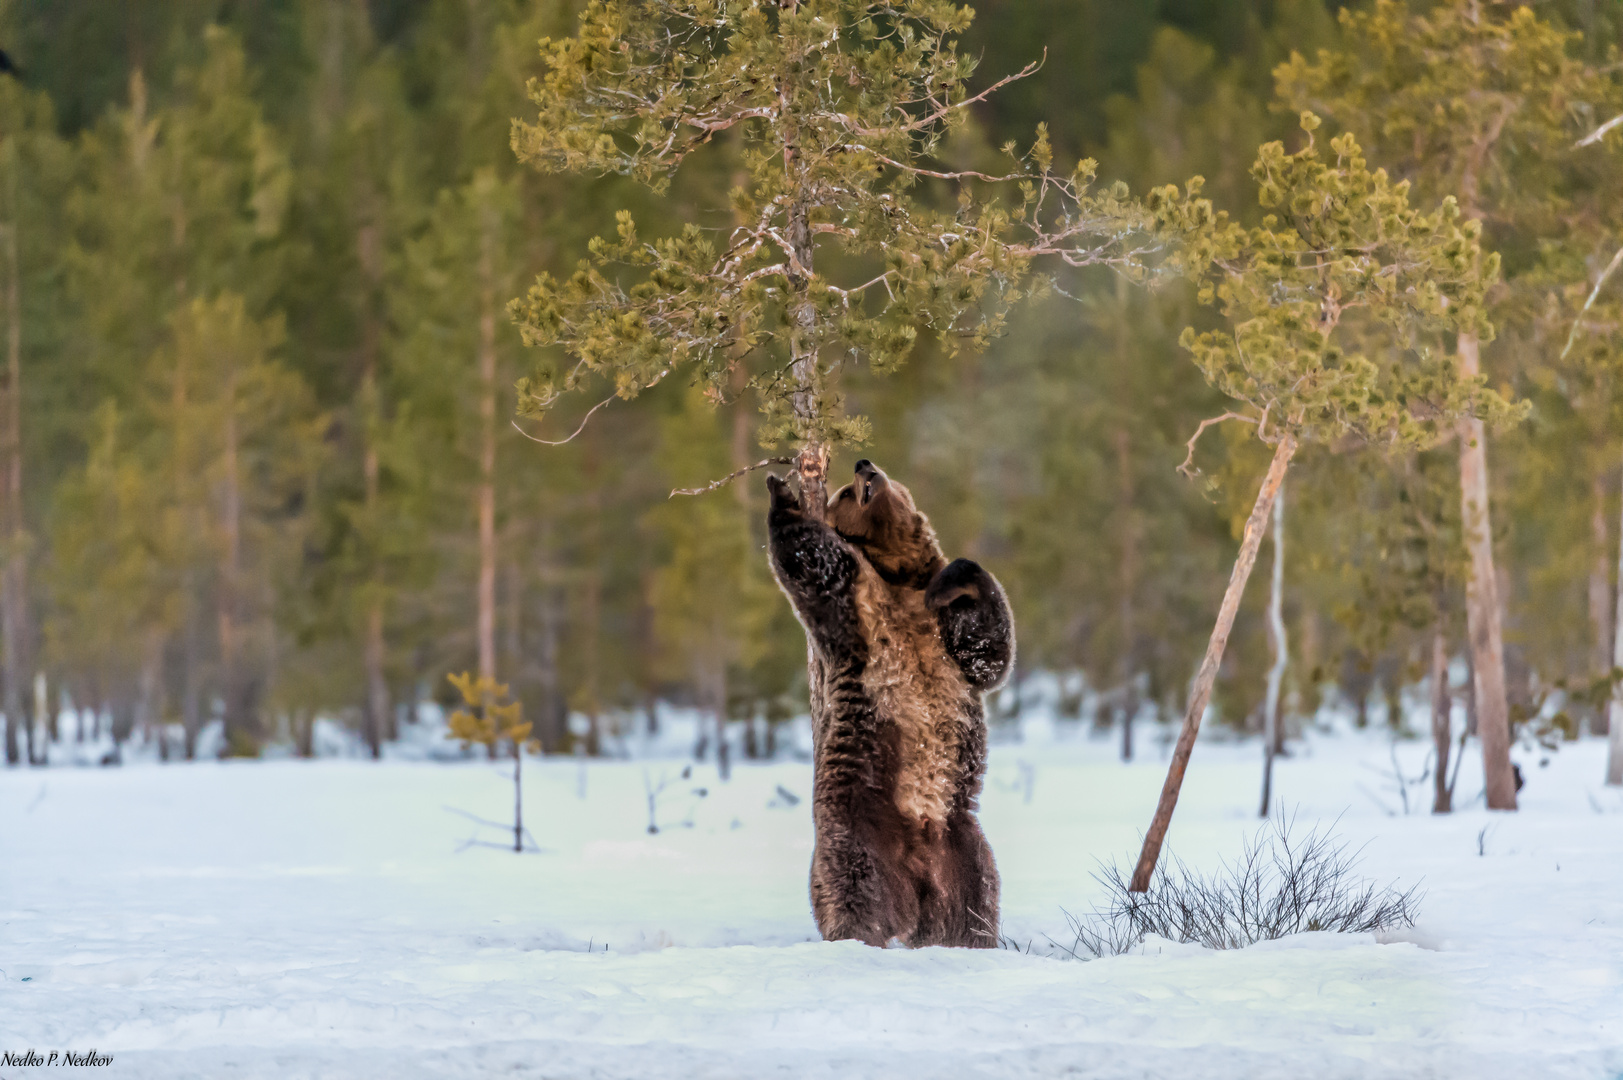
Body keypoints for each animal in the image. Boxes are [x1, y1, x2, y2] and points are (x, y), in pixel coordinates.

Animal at [762, 454, 1012, 941]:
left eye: (878, 471)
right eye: (843, 491)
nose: (864, 464)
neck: (898, 575)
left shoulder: (946, 638)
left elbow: (988, 648)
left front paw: (956, 579)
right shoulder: (856, 603)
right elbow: (811, 562)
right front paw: (781, 492)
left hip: (965, 852)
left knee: (974, 911)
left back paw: (971, 941)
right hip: (857, 833)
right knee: (856, 895)